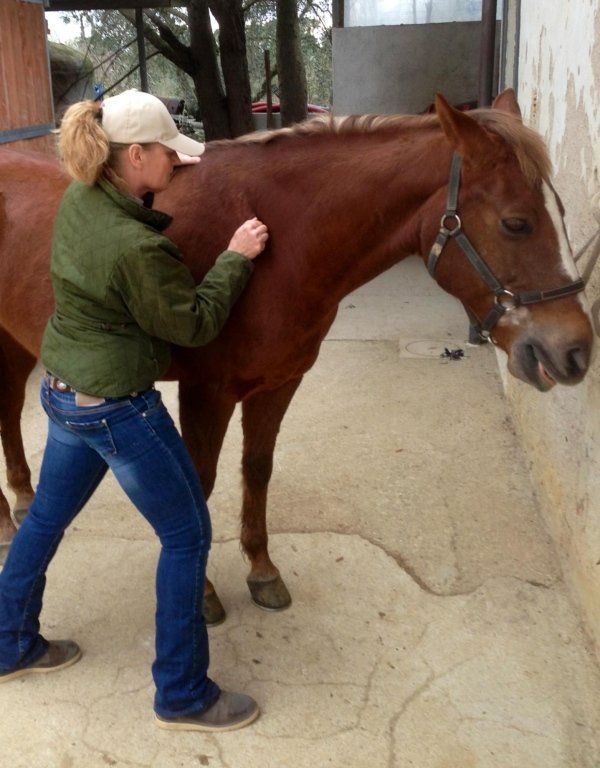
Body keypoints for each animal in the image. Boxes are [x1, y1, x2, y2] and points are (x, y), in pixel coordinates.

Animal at [0, 90, 593, 624]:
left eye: (560, 214)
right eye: (516, 223)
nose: (576, 351)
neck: (281, 242)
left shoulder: (279, 382)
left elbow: (257, 470)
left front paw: (262, 570)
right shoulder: (207, 393)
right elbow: (198, 485)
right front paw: (205, 594)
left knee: (8, 415)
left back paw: (22, 508)